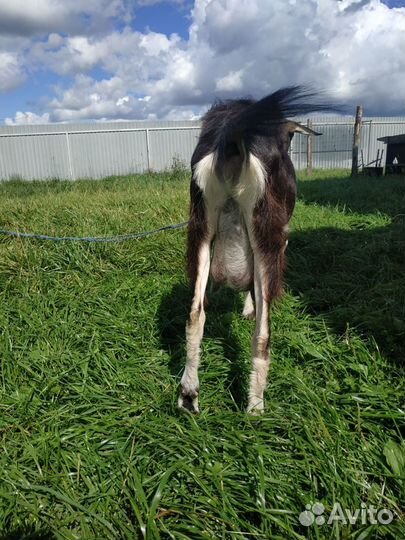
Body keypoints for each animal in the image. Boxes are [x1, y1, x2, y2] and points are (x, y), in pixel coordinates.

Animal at [179, 86, 328, 414]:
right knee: (262, 333)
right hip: (264, 233)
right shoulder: (280, 238)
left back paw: (189, 395)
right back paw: (255, 407)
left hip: (202, 224)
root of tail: (233, 135)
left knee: (195, 315)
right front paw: (248, 308)